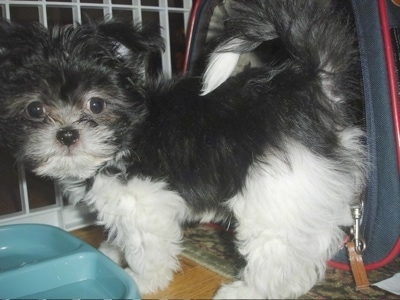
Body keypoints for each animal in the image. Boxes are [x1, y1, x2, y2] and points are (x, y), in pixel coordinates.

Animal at [0, 1, 368, 298]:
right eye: (35, 109)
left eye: (96, 104)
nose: (66, 134)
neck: (131, 131)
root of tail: (312, 85)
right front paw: (113, 252)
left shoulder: (142, 201)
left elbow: (146, 246)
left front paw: (142, 279)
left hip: (275, 187)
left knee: (277, 248)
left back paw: (249, 291)